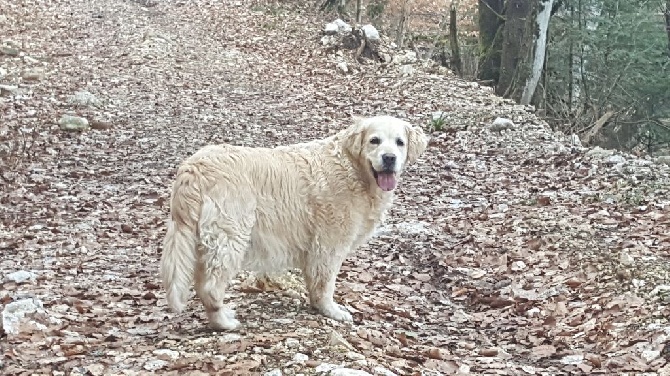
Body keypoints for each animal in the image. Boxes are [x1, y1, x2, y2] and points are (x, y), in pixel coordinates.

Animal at [160, 114, 428, 328]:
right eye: (374, 140)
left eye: (400, 142)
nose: (389, 158)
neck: (354, 170)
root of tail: (192, 168)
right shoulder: (329, 243)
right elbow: (325, 282)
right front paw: (331, 311)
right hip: (230, 235)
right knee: (210, 287)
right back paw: (224, 323)